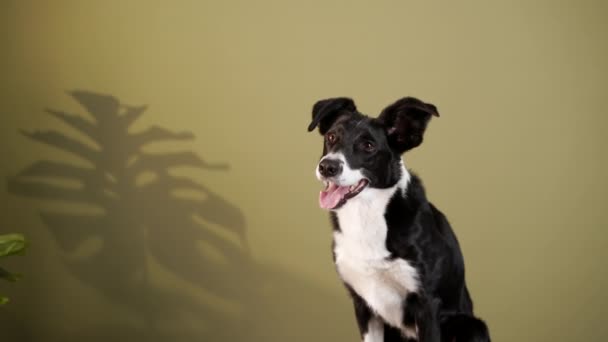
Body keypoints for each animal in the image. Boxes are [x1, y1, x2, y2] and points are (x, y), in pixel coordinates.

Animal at [308, 97, 490, 342]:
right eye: (331, 137)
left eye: (368, 146)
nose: (327, 167)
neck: (367, 215)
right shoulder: (362, 304)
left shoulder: (427, 304)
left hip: (470, 326)